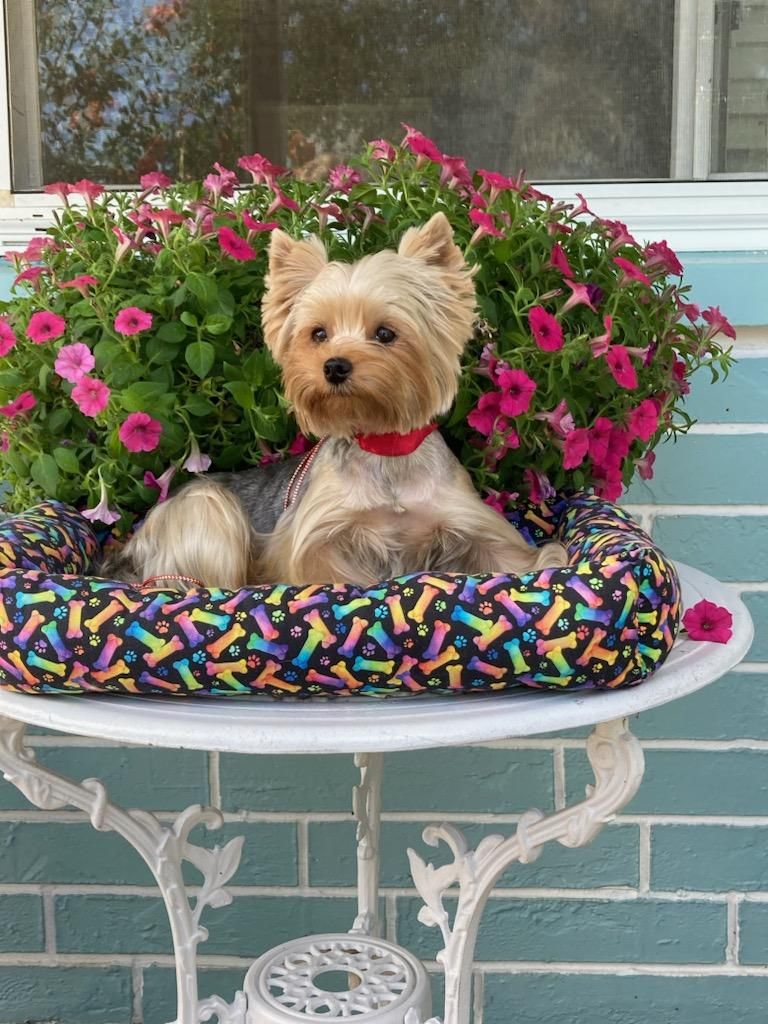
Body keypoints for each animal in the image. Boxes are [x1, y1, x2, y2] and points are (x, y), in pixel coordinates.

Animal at [104, 212, 567, 590]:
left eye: (385, 333)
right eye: (318, 334)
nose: (334, 366)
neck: (383, 448)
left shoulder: (469, 522)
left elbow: (522, 559)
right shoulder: (312, 536)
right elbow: (322, 567)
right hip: (203, 509)